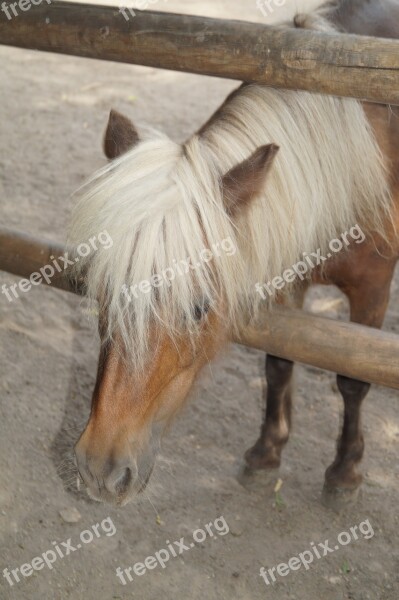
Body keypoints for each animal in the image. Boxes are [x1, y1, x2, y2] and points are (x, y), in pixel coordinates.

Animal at [69, 0, 399, 506]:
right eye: (100, 292)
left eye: (198, 308)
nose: (101, 471)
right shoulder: (288, 281)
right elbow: (280, 361)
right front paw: (267, 452)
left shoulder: (373, 289)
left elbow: (352, 376)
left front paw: (346, 472)